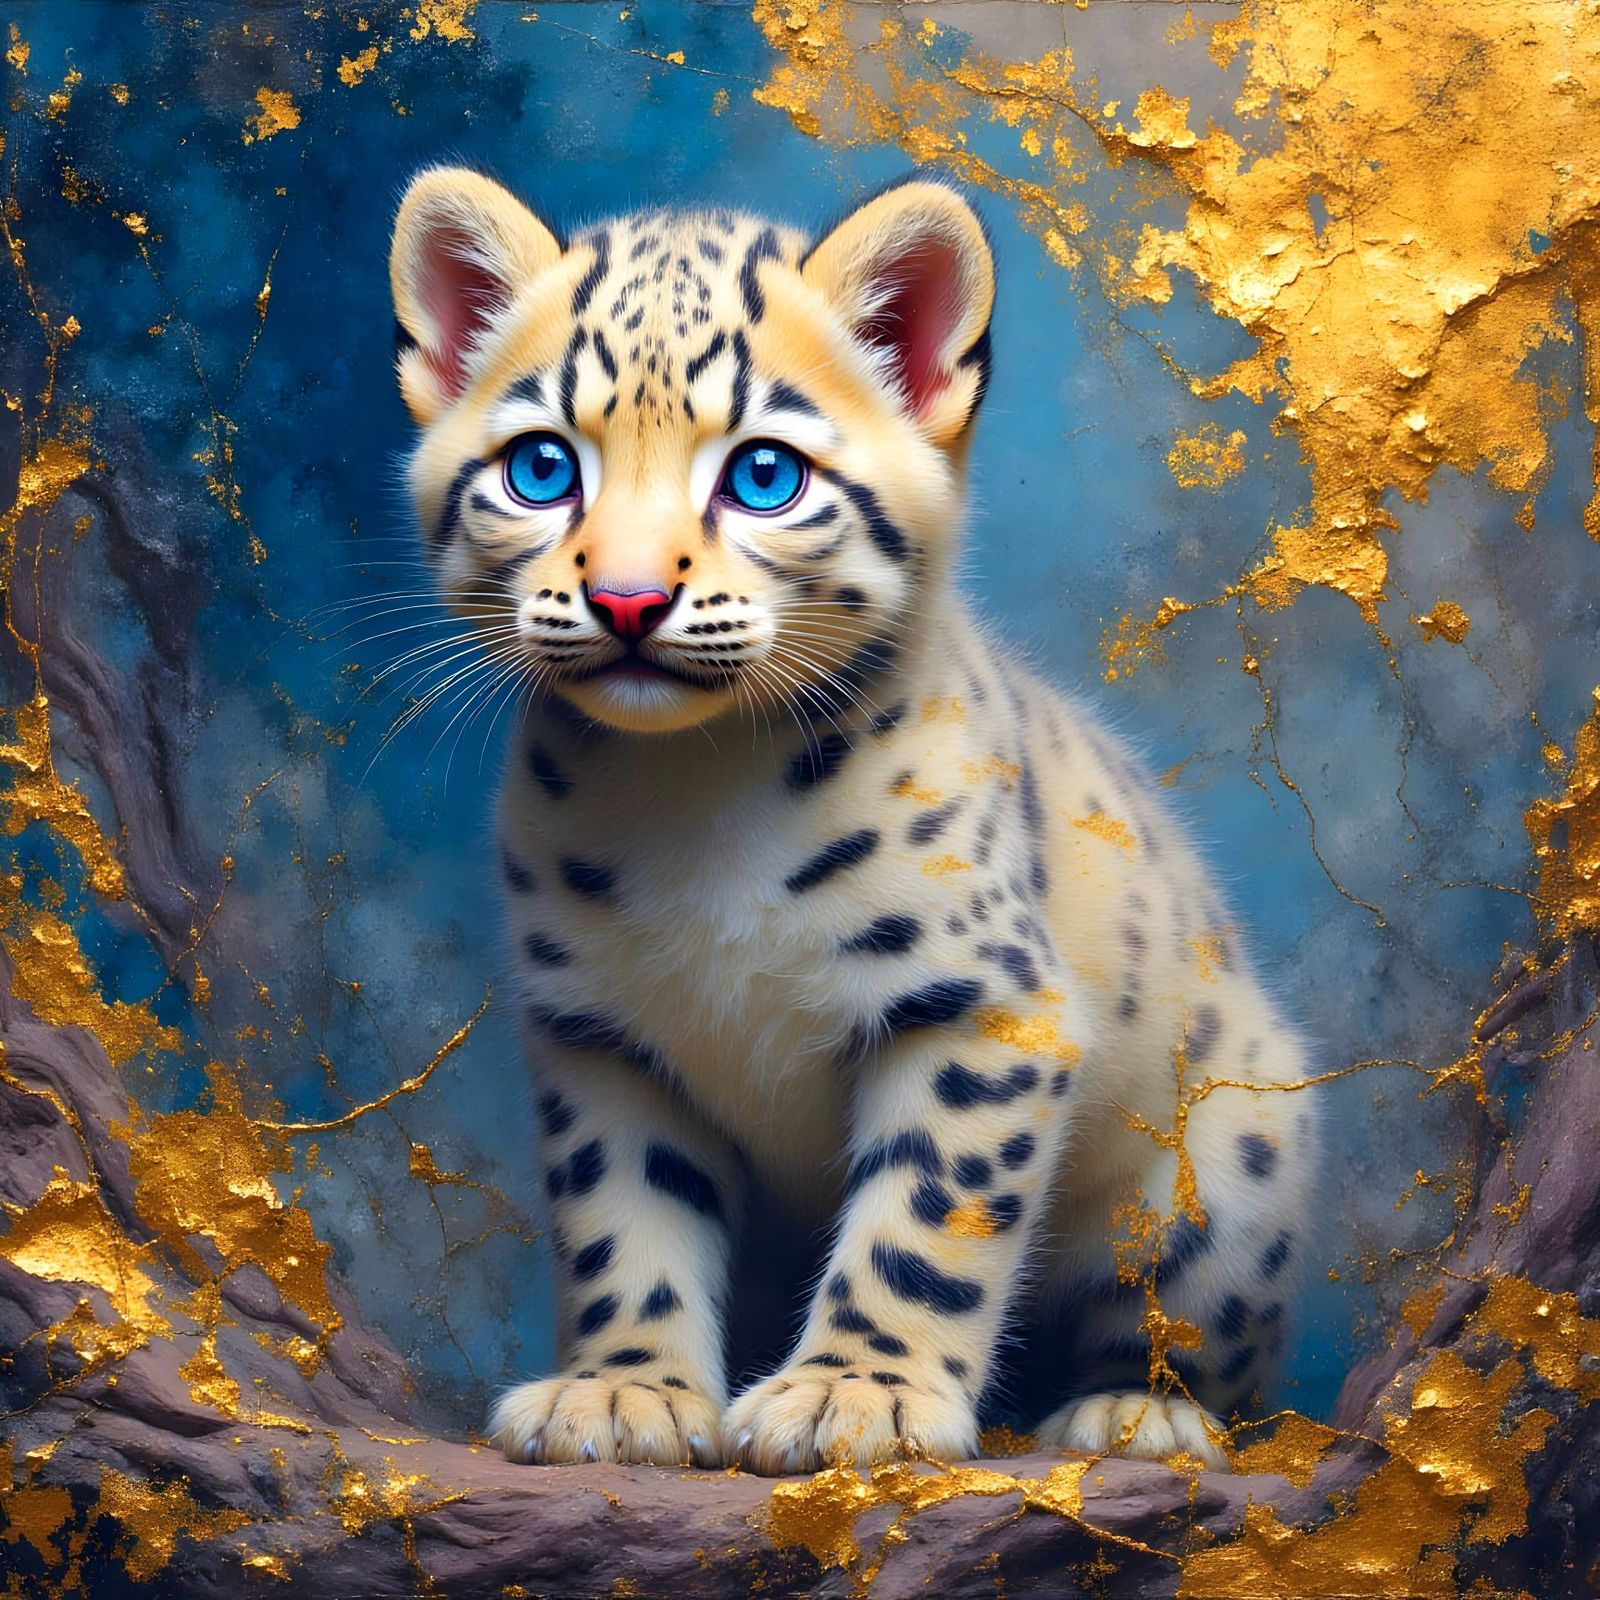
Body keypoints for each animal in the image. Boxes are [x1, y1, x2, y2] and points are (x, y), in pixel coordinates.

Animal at [386, 165, 1317, 1476]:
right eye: (541, 467)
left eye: (763, 475)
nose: (626, 599)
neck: (696, 798)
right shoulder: (601, 1035)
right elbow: (624, 1216)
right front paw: (622, 1394)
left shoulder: (980, 1004)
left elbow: (924, 1215)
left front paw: (853, 1394)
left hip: (1229, 1168)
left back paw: (1137, 1410)